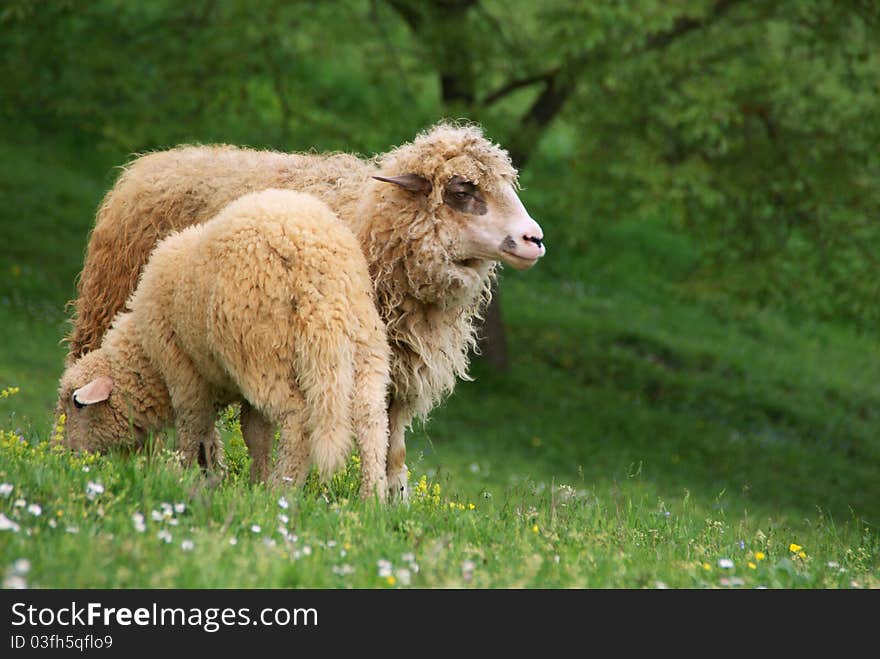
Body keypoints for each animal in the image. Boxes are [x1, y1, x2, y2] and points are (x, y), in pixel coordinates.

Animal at [57, 189, 392, 500]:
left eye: (76, 404)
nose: (64, 458)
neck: (145, 359)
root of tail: (312, 260)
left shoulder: (183, 373)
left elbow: (192, 428)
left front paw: (185, 475)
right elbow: (253, 434)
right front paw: (244, 479)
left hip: (265, 354)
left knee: (297, 422)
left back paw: (280, 492)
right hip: (363, 342)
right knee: (371, 418)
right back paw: (372, 497)